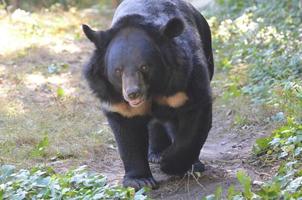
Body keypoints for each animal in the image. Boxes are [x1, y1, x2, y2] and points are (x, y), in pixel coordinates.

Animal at [82, 0, 214, 190]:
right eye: (118, 70)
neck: (153, 90)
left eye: (144, 67)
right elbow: (128, 135)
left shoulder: (185, 82)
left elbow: (194, 119)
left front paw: (172, 164)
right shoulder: (117, 101)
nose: (132, 94)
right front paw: (140, 180)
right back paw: (156, 154)